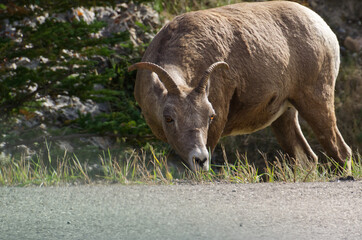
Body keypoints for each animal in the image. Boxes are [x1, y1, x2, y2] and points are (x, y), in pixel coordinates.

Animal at [129, 0, 350, 172]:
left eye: (210, 116)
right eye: (169, 118)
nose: (199, 159)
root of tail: (324, 28)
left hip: (316, 102)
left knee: (340, 150)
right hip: (284, 116)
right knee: (307, 158)